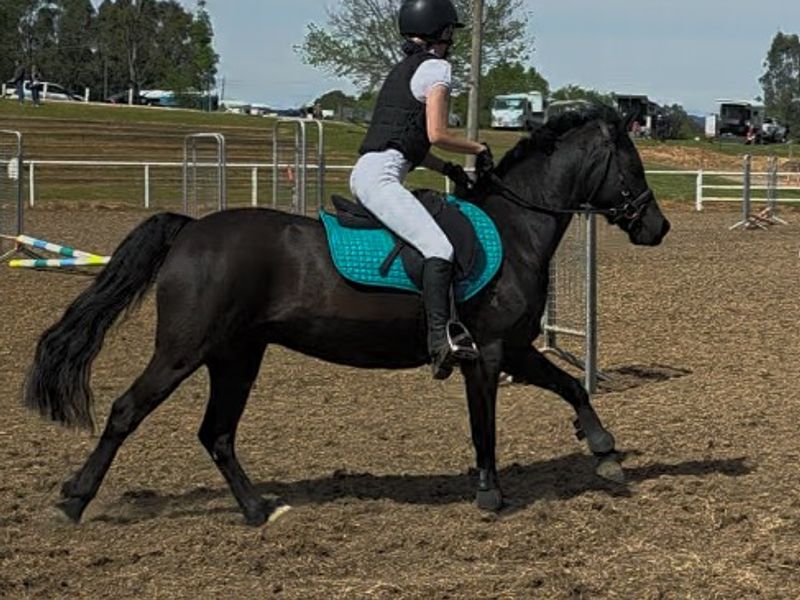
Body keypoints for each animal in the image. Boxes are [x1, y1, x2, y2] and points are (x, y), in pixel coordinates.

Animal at [24, 105, 670, 526]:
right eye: (633, 165)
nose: (657, 227)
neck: (514, 228)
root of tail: (191, 230)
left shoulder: (514, 349)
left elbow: (571, 387)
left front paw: (604, 450)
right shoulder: (485, 352)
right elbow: (484, 426)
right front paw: (491, 493)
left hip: (237, 355)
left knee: (218, 433)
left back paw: (258, 509)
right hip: (184, 350)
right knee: (128, 411)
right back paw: (75, 499)